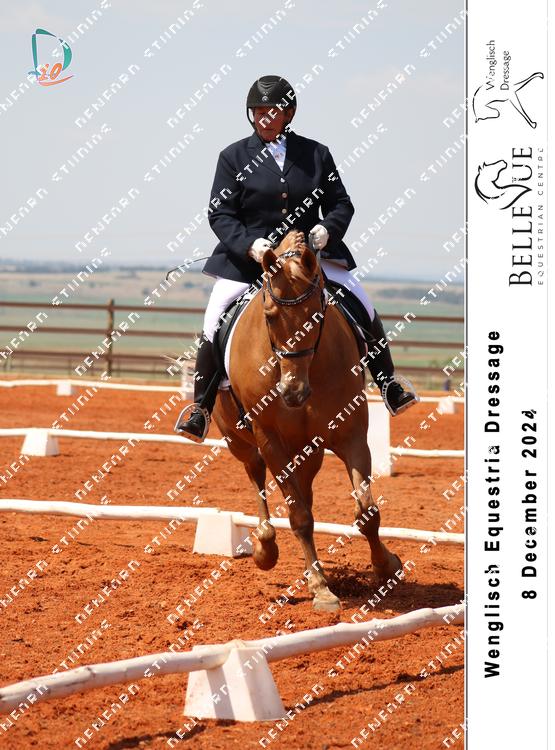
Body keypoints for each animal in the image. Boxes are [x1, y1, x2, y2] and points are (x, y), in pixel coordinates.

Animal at [204, 229, 401, 611]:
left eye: (316, 315)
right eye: (268, 316)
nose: (292, 392)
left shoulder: (351, 434)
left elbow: (367, 511)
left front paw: (386, 566)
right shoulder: (270, 440)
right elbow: (298, 517)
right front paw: (322, 589)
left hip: (308, 452)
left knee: (304, 492)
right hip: (240, 441)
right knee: (257, 478)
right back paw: (265, 547)